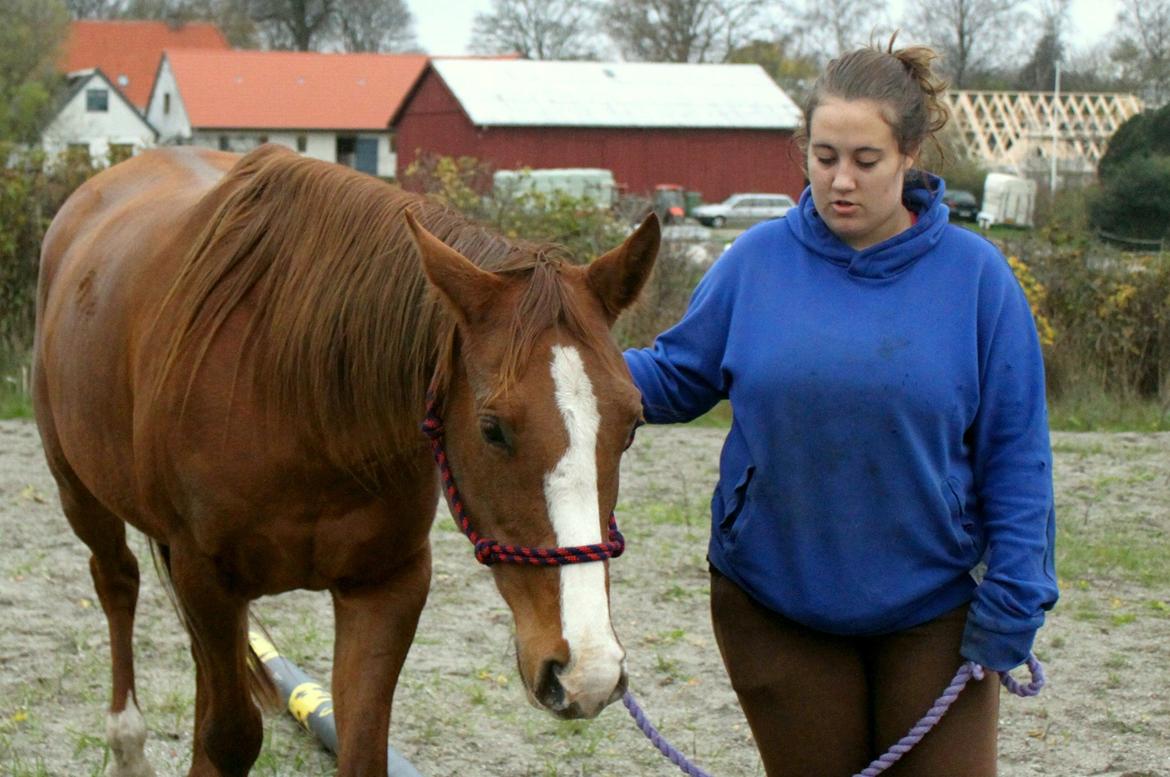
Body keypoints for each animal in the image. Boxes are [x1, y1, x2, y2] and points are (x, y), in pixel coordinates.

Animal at [34, 142, 659, 772]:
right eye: (492, 429)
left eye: (632, 424)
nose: (587, 672)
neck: (298, 402)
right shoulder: (206, 576)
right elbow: (232, 736)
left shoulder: (386, 585)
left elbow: (358, 745)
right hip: (79, 495)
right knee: (117, 584)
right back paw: (127, 744)